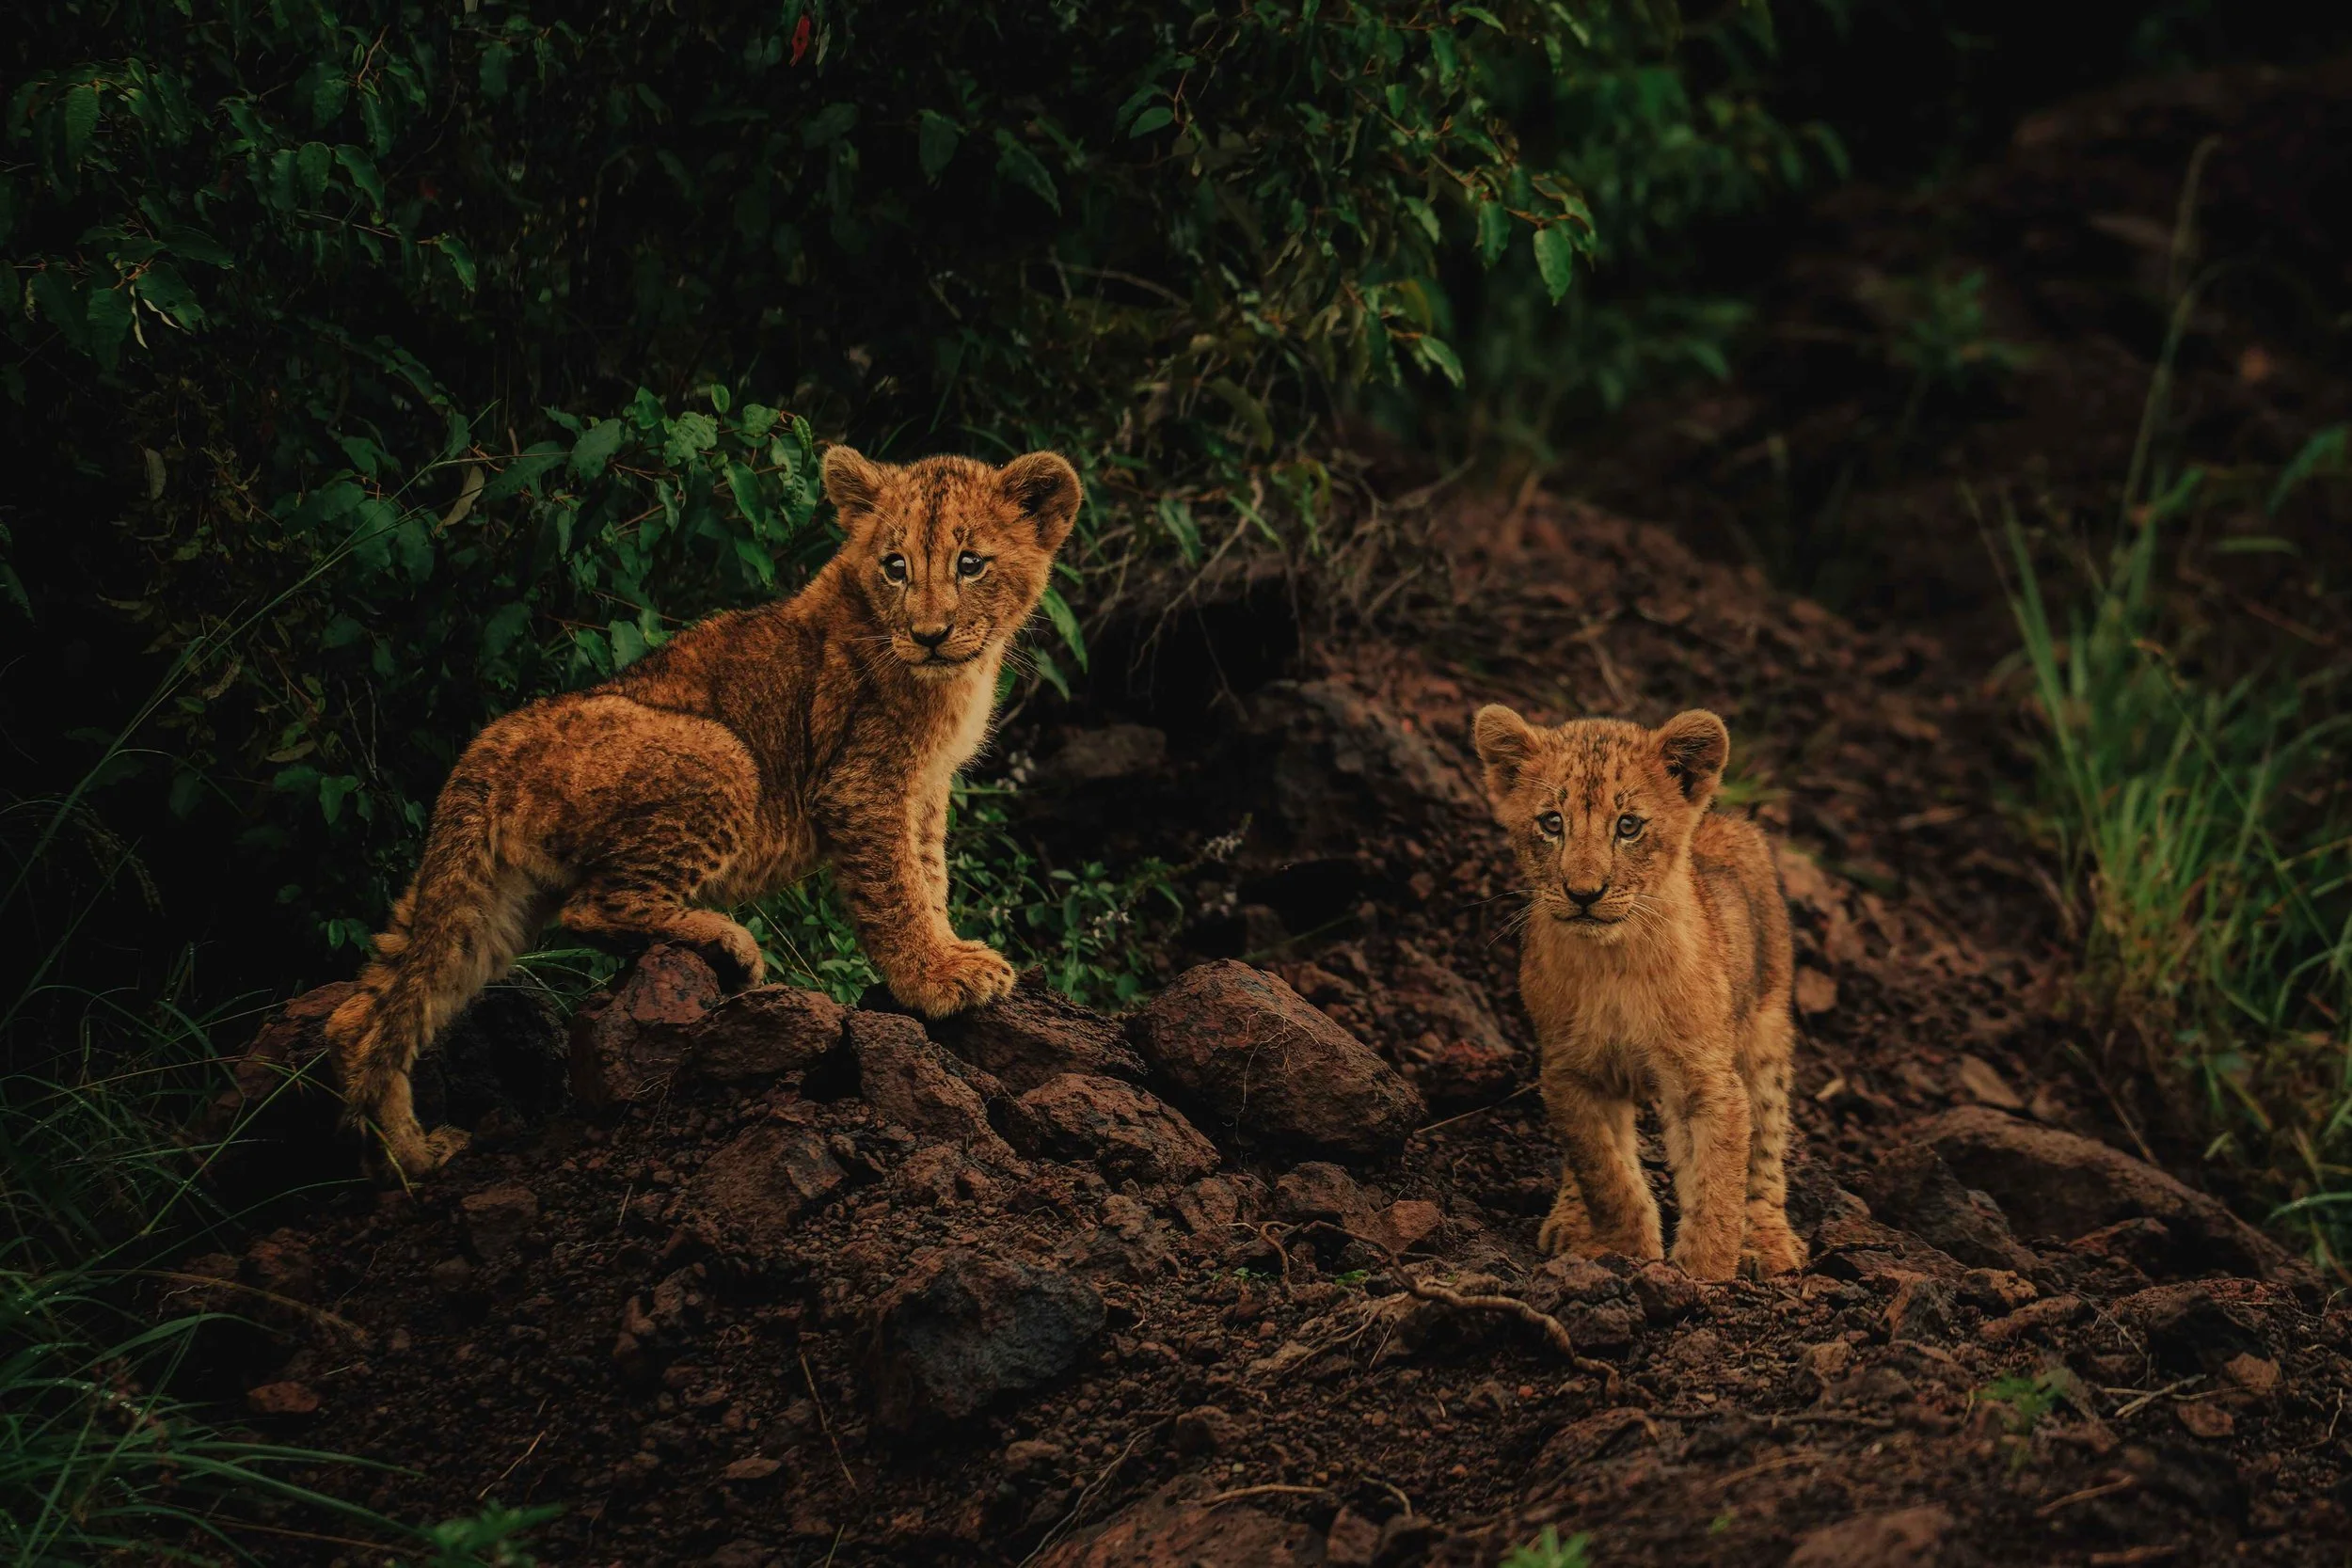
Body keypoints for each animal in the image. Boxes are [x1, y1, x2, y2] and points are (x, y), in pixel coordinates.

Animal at [325, 446, 1081, 1177]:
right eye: (895, 567)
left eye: (971, 563)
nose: (929, 634)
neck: (951, 674)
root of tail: (494, 743)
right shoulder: (863, 785)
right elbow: (896, 890)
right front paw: (934, 979)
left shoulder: (922, 788)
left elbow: (929, 876)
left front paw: (951, 950)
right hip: (724, 754)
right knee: (593, 907)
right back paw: (730, 944)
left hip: (489, 904)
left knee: (368, 1012)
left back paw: (410, 1154)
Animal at [1470, 704, 1805, 1280]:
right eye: (1551, 823)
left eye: (1628, 826)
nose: (1583, 894)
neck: (1614, 962)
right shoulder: (1569, 1073)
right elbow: (1606, 1172)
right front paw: (1628, 1252)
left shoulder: (1707, 1078)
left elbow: (1718, 1182)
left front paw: (1704, 1276)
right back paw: (1571, 1222)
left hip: (1765, 1032)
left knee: (1765, 1145)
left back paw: (1768, 1241)